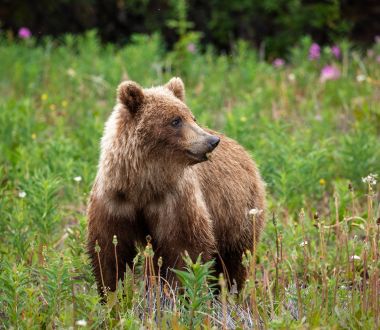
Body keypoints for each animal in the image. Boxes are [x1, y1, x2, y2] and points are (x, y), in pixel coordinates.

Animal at [86, 78, 266, 294]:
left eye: (192, 117)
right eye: (175, 120)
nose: (212, 141)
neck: (144, 184)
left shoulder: (176, 200)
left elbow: (186, 249)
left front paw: (177, 291)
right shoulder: (115, 199)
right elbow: (108, 250)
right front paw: (111, 293)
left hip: (237, 214)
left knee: (233, 261)